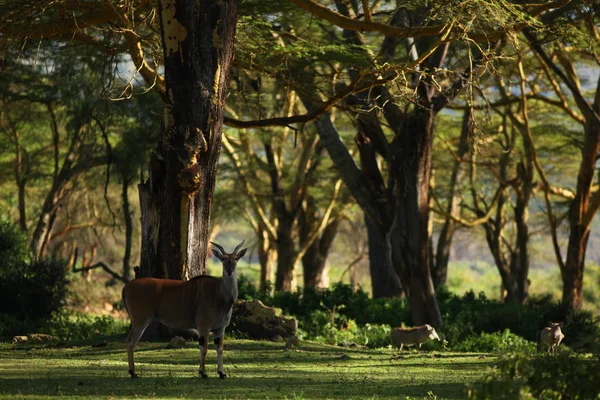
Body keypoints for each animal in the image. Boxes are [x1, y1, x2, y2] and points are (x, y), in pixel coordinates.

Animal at [122, 241, 246, 378]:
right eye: (223, 259)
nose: (229, 271)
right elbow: (204, 348)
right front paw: (202, 373)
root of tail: (127, 286)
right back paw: (133, 372)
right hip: (141, 320)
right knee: (130, 341)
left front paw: (221, 373)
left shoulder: (220, 329)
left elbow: (219, 349)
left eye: (236, 258)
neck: (219, 295)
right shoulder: (203, 326)